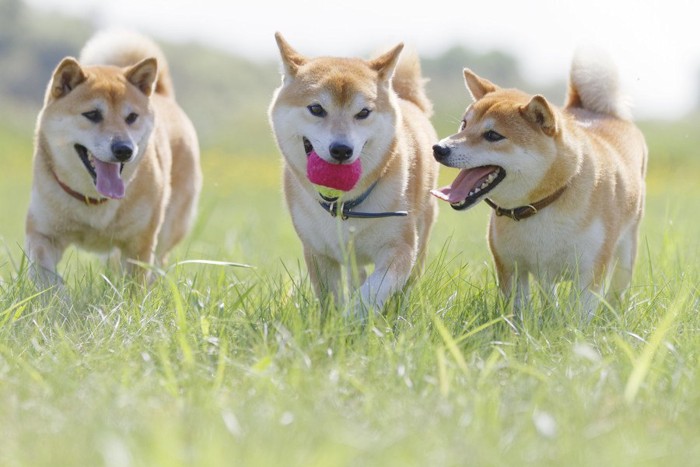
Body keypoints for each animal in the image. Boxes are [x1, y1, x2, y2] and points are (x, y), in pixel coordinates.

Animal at [24, 30, 200, 288]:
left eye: (132, 117)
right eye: (92, 114)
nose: (124, 149)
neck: (93, 201)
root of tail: (163, 95)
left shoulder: (139, 244)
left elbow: (136, 286)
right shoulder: (43, 232)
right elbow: (46, 276)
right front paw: (58, 296)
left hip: (168, 227)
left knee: (158, 263)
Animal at [430, 49, 648, 318]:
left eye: (493, 135)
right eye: (464, 124)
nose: (439, 148)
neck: (540, 205)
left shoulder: (589, 272)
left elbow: (579, 315)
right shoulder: (511, 268)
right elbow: (518, 311)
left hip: (626, 248)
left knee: (617, 289)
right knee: (549, 293)